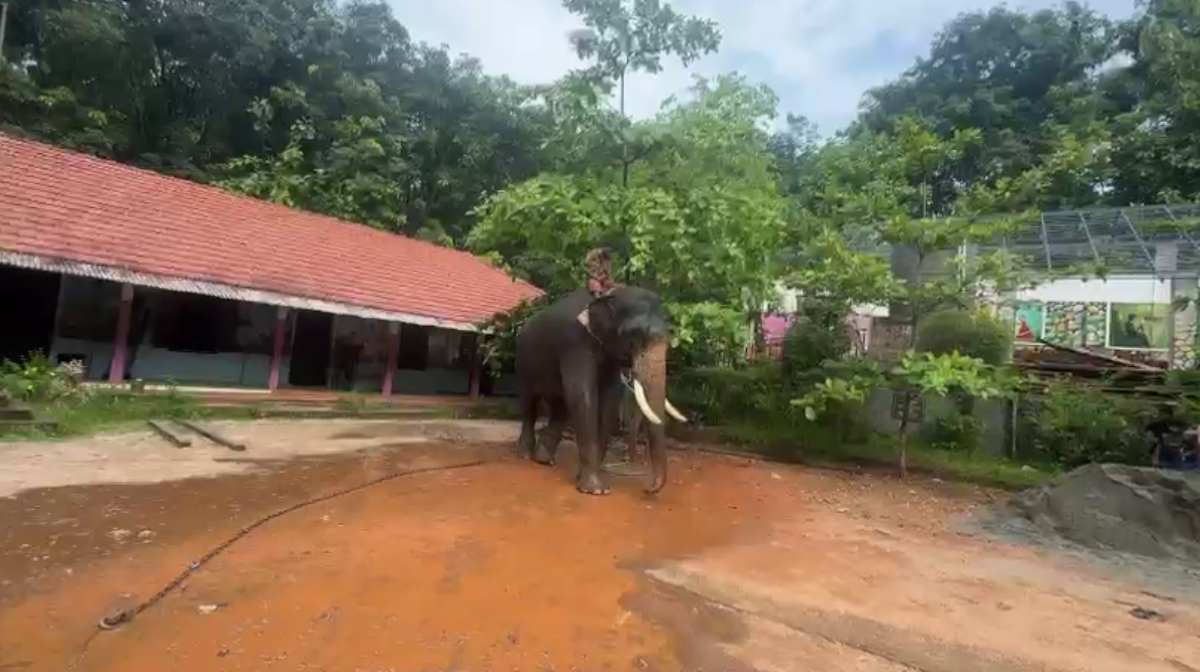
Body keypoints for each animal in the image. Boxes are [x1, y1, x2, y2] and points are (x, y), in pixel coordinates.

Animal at [515, 286, 687, 495]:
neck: (607, 294)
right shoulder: (575, 344)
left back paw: (544, 460)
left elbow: (608, 400)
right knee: (529, 403)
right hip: (523, 362)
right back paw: (525, 455)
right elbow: (582, 395)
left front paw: (586, 480)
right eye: (633, 335)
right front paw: (596, 490)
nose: (649, 488)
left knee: (560, 408)